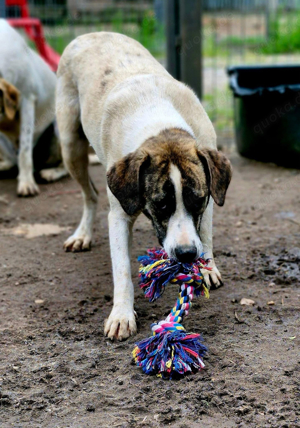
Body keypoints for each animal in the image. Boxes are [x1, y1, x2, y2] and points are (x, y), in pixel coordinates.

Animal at [55, 31, 232, 342]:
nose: (186, 254)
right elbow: (122, 270)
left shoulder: (211, 191)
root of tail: (90, 33)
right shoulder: (119, 215)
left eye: (197, 201)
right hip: (70, 146)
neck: (160, 126)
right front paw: (121, 315)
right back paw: (83, 234)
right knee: (90, 195)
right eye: (161, 204)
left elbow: (206, 232)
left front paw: (207, 266)